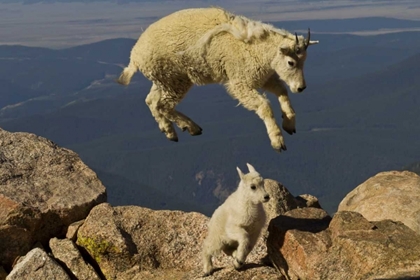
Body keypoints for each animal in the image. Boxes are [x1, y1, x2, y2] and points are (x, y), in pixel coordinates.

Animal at [118, 7, 318, 151]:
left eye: (305, 60)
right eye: (291, 62)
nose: (301, 88)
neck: (253, 46)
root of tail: (135, 56)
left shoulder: (263, 77)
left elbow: (282, 91)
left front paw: (289, 124)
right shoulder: (240, 81)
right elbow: (264, 106)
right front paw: (278, 141)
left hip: (166, 80)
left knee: (151, 101)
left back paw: (170, 132)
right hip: (175, 80)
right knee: (162, 105)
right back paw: (191, 127)